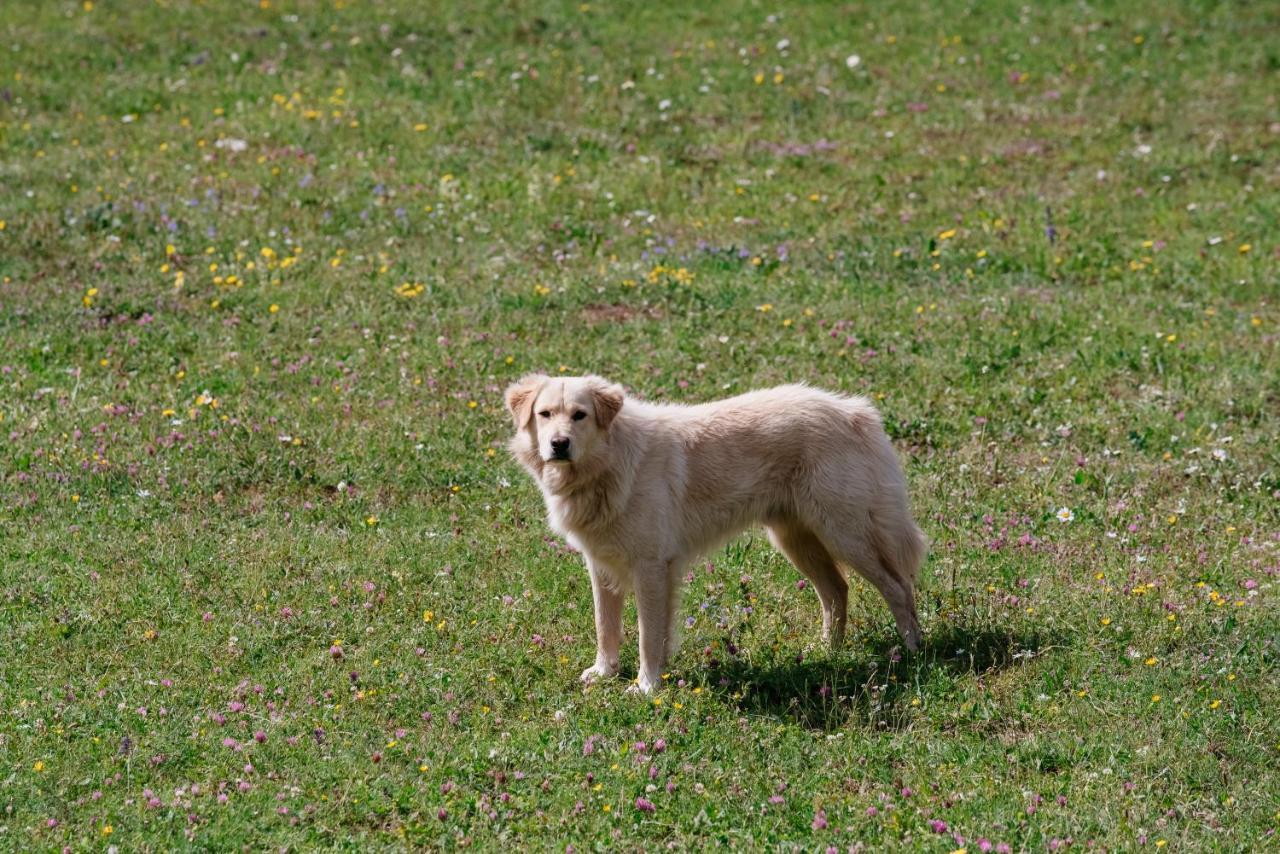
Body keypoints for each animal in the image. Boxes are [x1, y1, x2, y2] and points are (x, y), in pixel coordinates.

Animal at [504, 373, 926, 696]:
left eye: (580, 415)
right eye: (544, 414)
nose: (559, 444)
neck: (609, 464)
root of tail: (855, 410)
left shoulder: (650, 567)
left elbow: (647, 637)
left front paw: (646, 687)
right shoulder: (602, 566)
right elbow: (605, 627)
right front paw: (605, 673)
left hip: (846, 534)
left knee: (898, 587)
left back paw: (913, 652)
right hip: (796, 540)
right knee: (837, 590)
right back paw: (827, 652)